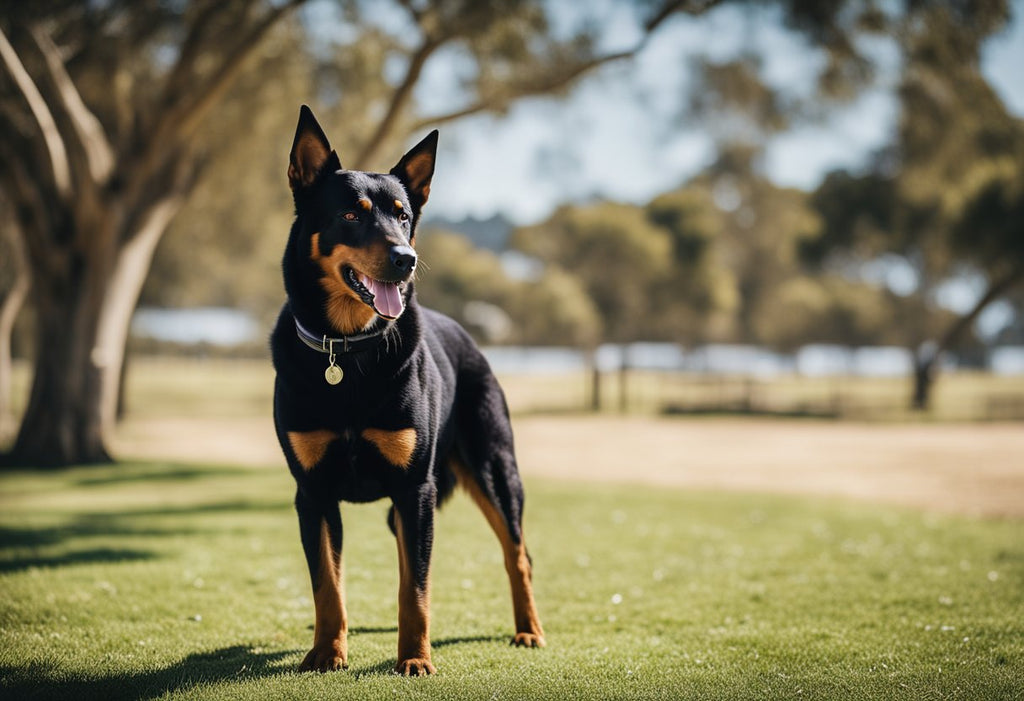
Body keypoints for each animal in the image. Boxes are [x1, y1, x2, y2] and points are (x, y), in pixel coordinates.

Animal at [270, 103, 544, 671]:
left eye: (402, 215)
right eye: (352, 215)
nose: (405, 258)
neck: (348, 350)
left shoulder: (416, 491)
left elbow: (414, 588)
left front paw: (414, 660)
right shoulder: (313, 494)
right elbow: (328, 585)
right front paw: (326, 652)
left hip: (494, 469)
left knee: (518, 554)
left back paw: (529, 630)